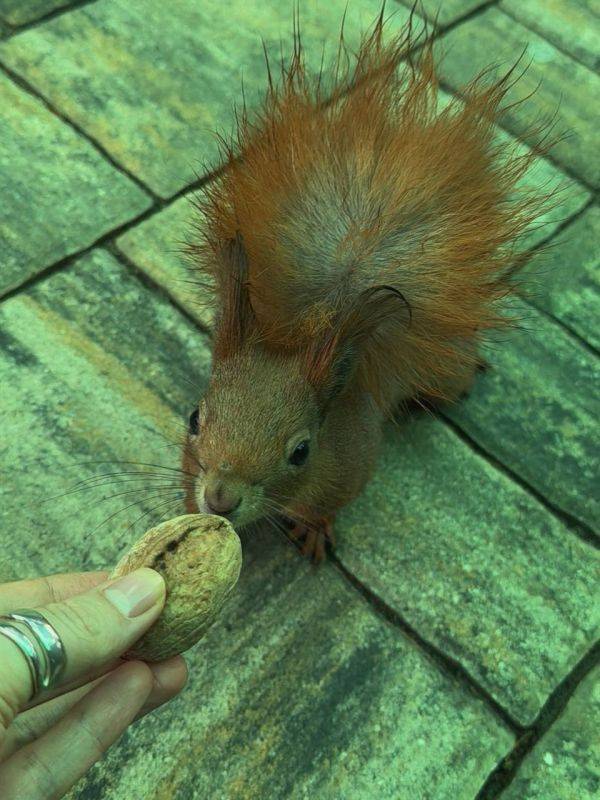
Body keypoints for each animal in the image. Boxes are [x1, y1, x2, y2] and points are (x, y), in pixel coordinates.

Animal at [179, 9, 552, 564]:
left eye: (302, 451)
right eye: (193, 418)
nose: (221, 499)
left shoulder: (352, 463)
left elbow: (332, 502)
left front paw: (316, 528)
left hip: (442, 372)